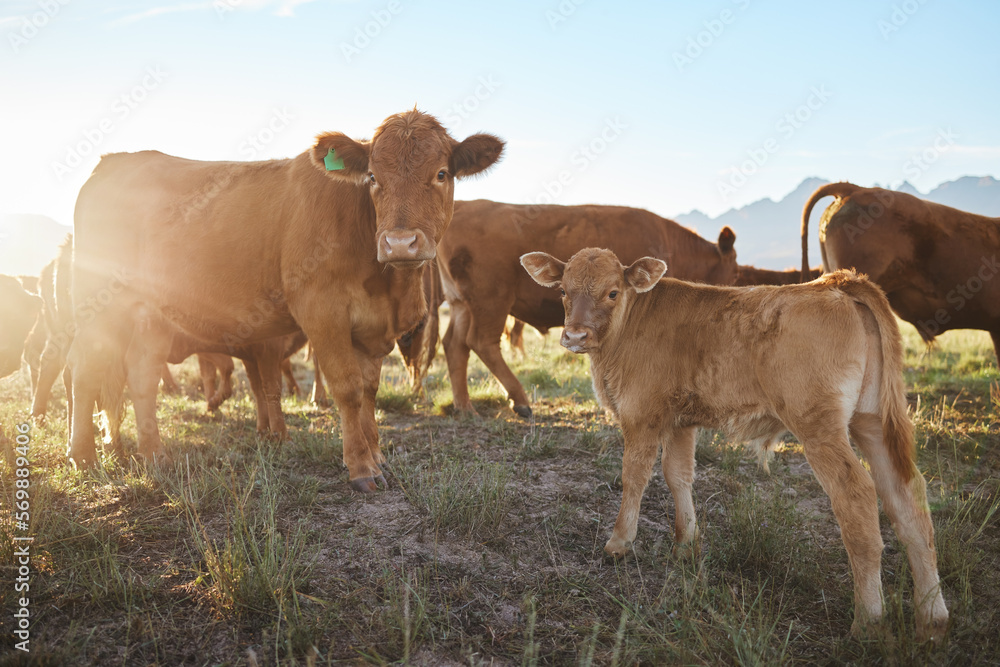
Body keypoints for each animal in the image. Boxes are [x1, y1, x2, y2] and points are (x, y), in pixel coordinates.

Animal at [69, 109, 504, 490]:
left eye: (442, 173)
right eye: (373, 176)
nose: (400, 243)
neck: (388, 286)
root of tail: (112, 162)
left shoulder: (371, 328)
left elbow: (368, 391)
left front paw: (377, 456)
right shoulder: (321, 311)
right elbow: (347, 388)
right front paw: (361, 467)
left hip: (150, 316)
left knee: (141, 374)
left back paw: (155, 454)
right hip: (95, 302)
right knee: (86, 370)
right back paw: (83, 455)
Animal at [436, 200, 736, 418]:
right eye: (734, 273)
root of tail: (463, 205)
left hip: (461, 305)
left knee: (454, 345)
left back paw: (464, 408)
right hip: (491, 303)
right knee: (480, 342)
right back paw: (520, 402)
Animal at [524, 248, 952, 644]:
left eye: (612, 292)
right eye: (563, 290)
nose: (574, 335)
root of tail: (836, 283)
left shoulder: (641, 414)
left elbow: (635, 475)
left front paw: (619, 543)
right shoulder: (680, 421)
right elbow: (678, 475)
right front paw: (686, 545)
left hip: (820, 426)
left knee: (858, 495)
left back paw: (868, 621)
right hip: (872, 421)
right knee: (908, 497)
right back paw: (932, 618)